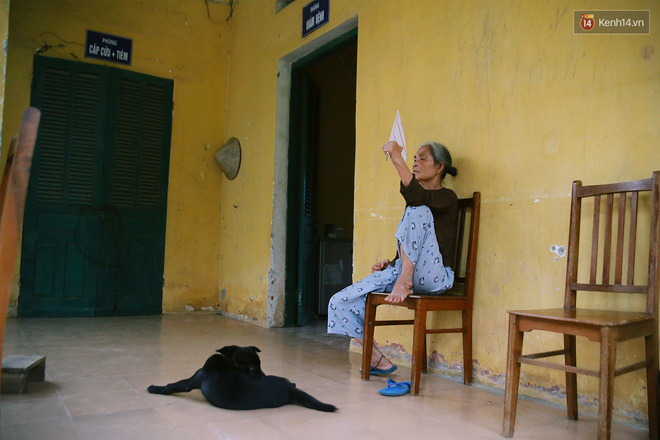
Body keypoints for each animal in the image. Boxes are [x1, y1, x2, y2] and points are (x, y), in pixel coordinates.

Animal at [148, 344, 338, 412]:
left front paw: (154, 388)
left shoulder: (192, 380)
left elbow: (173, 385)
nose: (263, 375)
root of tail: (291, 391)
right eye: (254, 367)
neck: (228, 361)